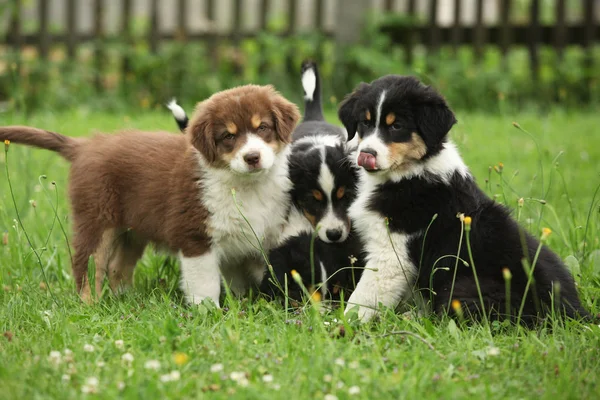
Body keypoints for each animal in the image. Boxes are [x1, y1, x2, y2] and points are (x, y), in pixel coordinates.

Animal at [0, 83, 300, 304]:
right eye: (228, 136)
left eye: (263, 127)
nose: (252, 158)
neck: (246, 186)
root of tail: (84, 145)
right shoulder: (195, 236)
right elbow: (205, 285)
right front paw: (209, 314)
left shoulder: (259, 237)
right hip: (96, 218)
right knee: (87, 267)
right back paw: (90, 305)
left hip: (132, 230)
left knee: (118, 268)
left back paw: (127, 300)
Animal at [338, 76, 592, 324]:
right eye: (365, 123)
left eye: (397, 126)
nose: (366, 154)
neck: (409, 172)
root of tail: (577, 314)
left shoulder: (391, 251)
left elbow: (363, 297)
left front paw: (342, 324)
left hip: (465, 287)